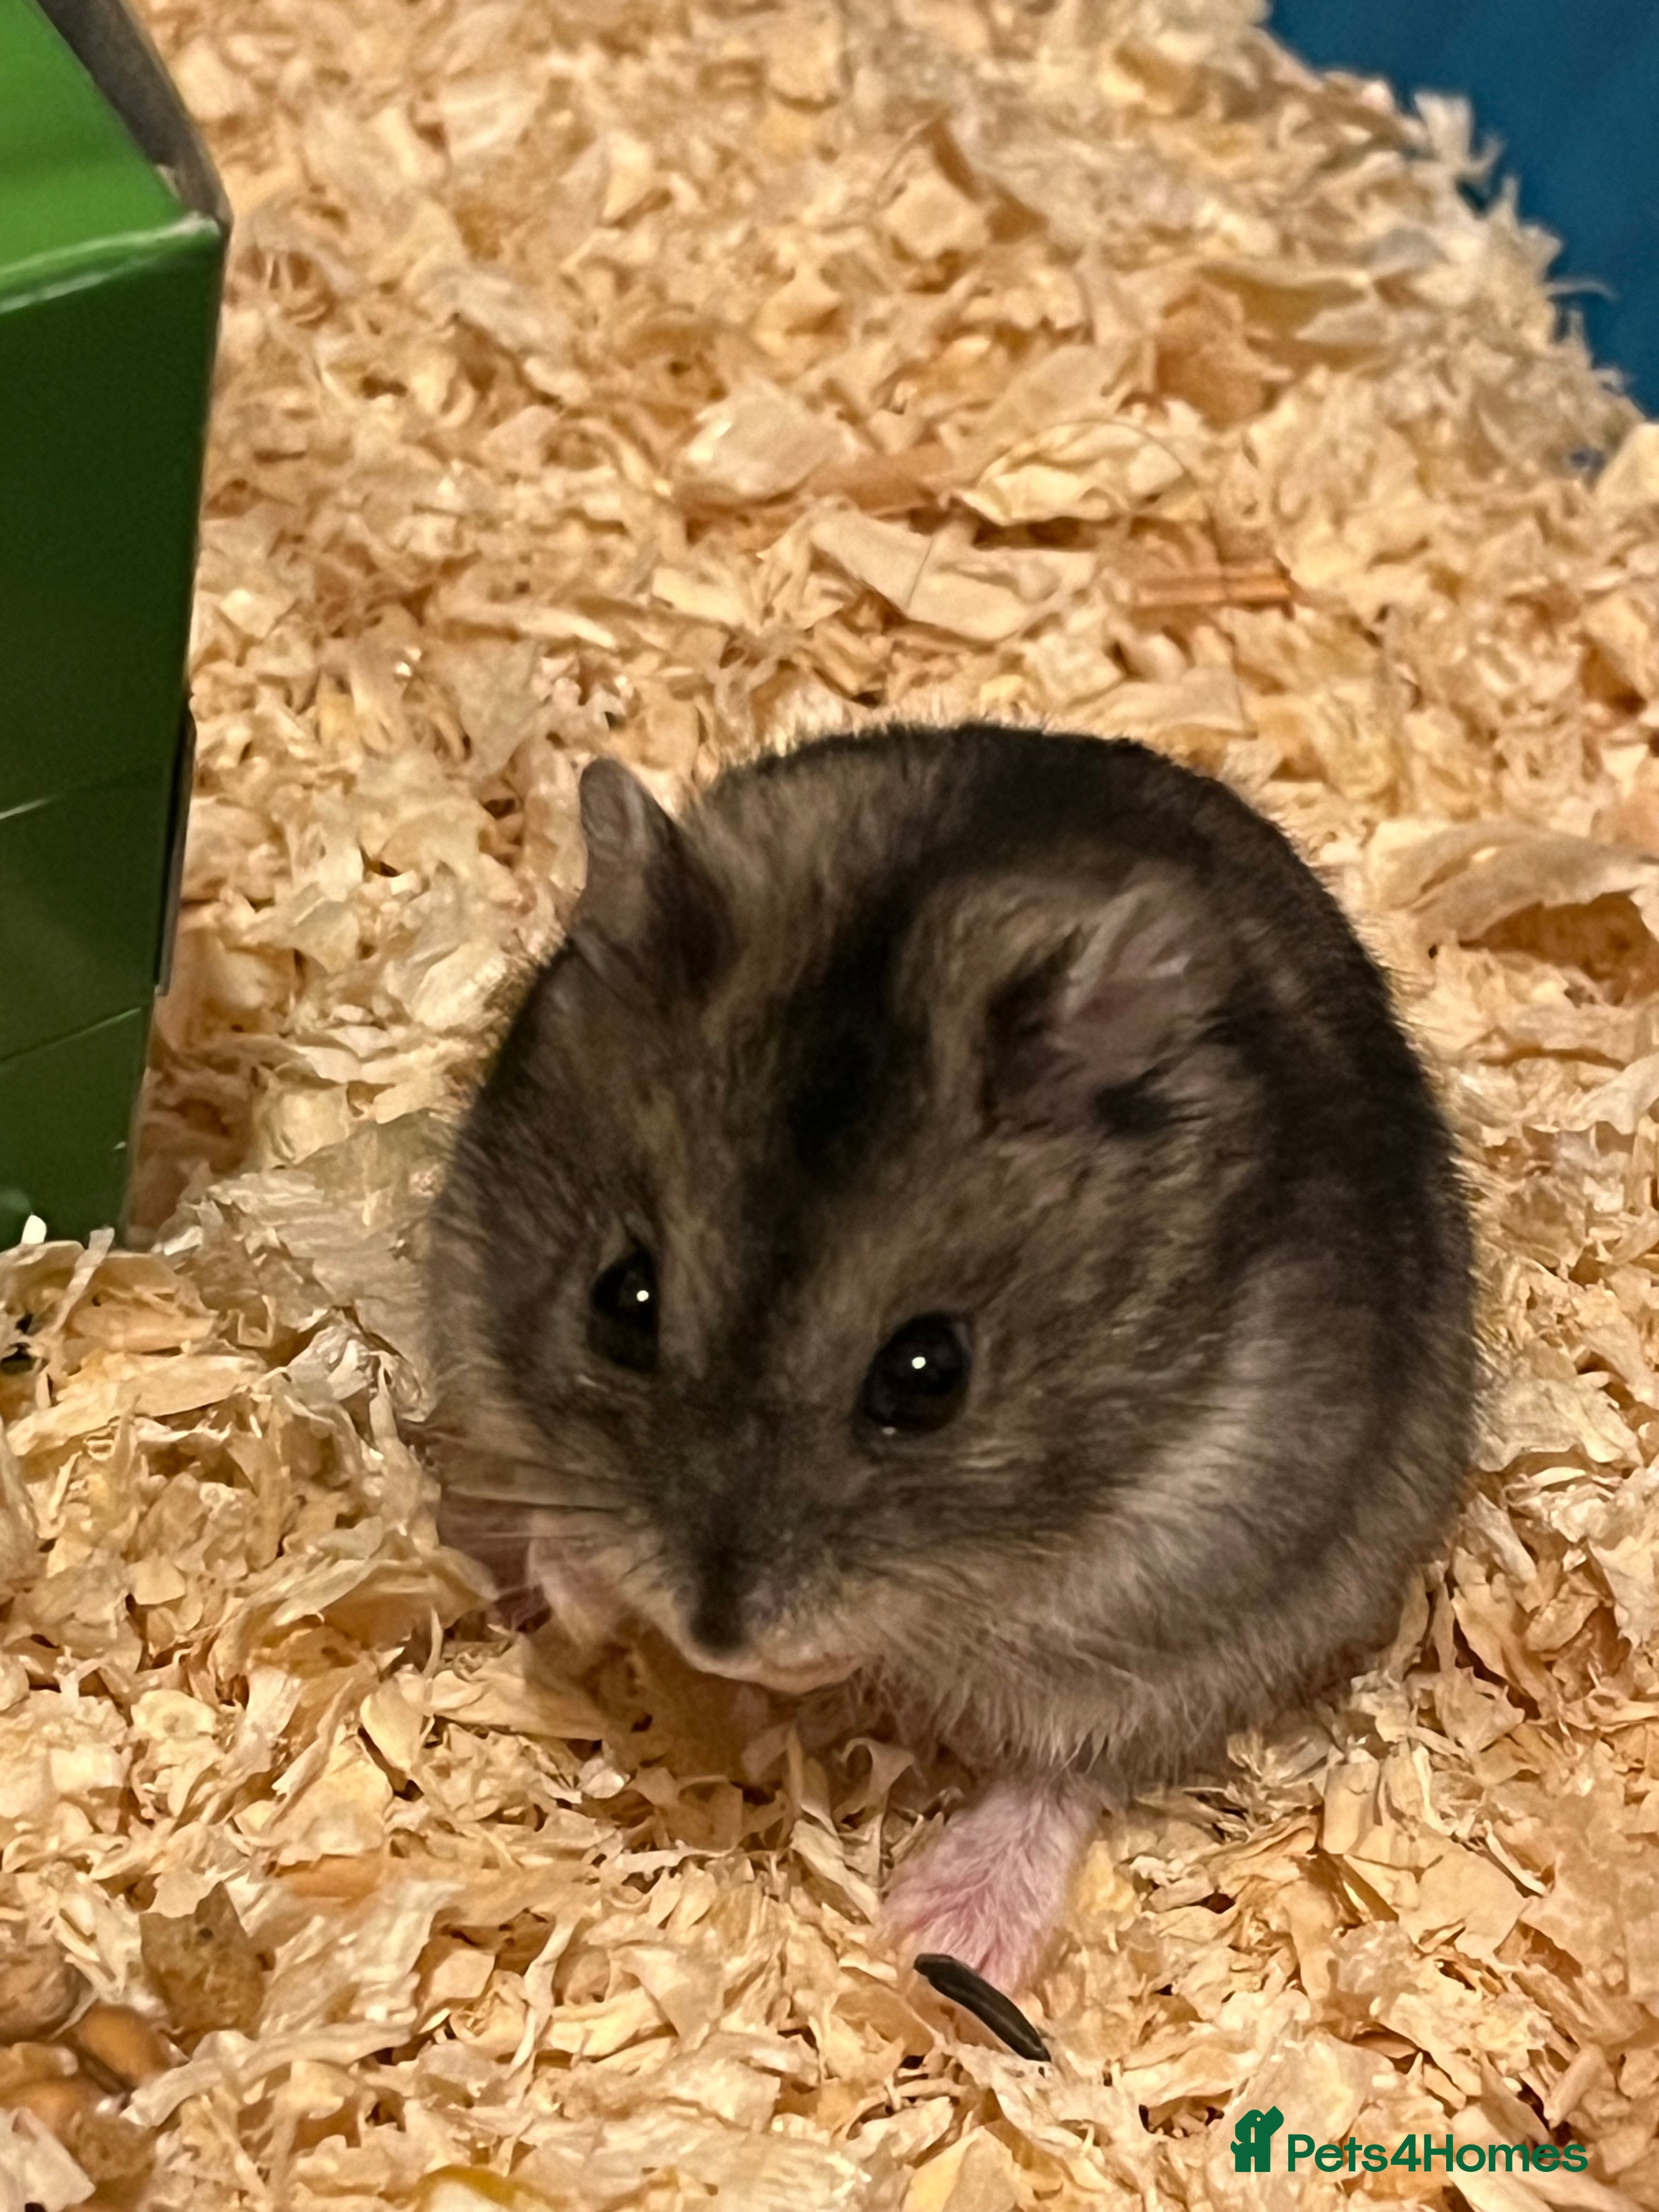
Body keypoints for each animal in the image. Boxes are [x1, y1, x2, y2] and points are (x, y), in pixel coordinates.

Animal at [430, 722, 1475, 1991]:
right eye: (619, 1300)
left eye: (928, 1377)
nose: (715, 1640)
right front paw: (587, 1599)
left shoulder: (1188, 1531)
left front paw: (791, 1676)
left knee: (1080, 1761)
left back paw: (938, 1933)